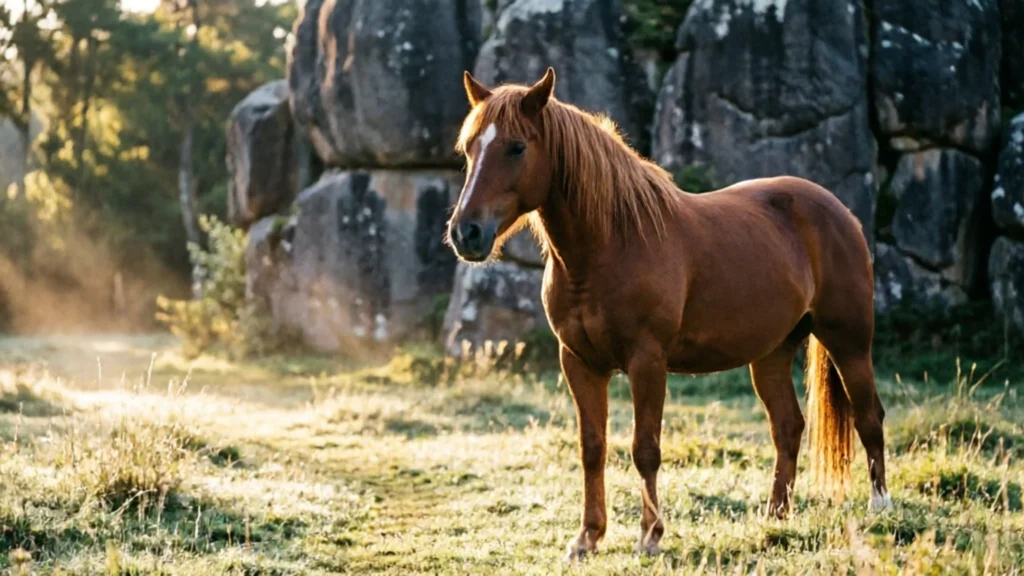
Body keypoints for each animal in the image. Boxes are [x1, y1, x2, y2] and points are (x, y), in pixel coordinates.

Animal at [446, 67, 890, 560]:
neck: (609, 245)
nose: (466, 232)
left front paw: (650, 535)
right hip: (771, 354)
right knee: (788, 426)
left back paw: (880, 507)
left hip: (849, 343)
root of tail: (841, 212)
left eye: (516, 147)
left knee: (869, 417)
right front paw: (587, 537)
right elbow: (592, 447)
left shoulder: (647, 361)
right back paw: (775, 514)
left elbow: (645, 448)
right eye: (469, 148)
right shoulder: (578, 362)